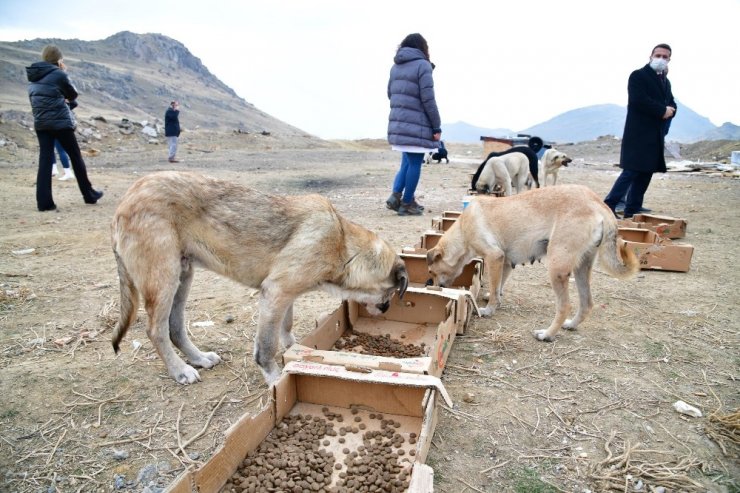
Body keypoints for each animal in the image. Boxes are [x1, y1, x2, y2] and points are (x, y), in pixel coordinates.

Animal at [112, 172, 408, 384]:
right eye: (391, 293)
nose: (386, 309)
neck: (343, 245)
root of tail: (123, 202)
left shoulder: (286, 295)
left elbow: (286, 325)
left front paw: (294, 347)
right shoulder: (276, 292)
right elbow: (266, 346)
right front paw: (276, 379)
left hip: (183, 276)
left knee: (174, 326)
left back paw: (198, 358)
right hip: (164, 279)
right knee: (156, 330)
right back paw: (179, 370)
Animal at [424, 184, 640, 342]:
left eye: (432, 273)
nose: (431, 286)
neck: (463, 230)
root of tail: (599, 204)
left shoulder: (494, 256)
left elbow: (494, 288)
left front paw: (489, 310)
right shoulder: (505, 261)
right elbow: (498, 286)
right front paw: (495, 299)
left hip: (556, 267)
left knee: (565, 306)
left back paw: (547, 334)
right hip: (581, 268)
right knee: (587, 303)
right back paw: (571, 325)